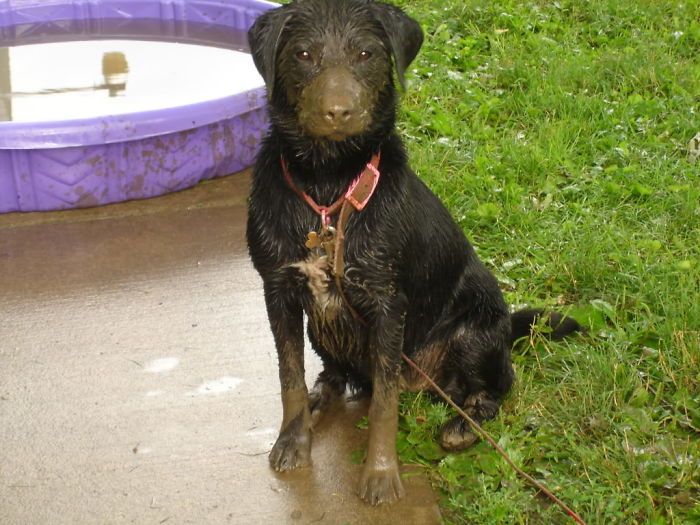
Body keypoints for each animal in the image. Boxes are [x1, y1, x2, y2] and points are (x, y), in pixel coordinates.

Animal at [246, 0, 580, 504]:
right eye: (303, 54)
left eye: (366, 53)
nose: (338, 112)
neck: (328, 188)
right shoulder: (279, 290)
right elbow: (290, 378)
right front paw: (293, 439)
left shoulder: (387, 306)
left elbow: (384, 404)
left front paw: (381, 473)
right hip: (323, 327)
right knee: (335, 375)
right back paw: (322, 397)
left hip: (473, 333)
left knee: (497, 386)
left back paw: (465, 423)